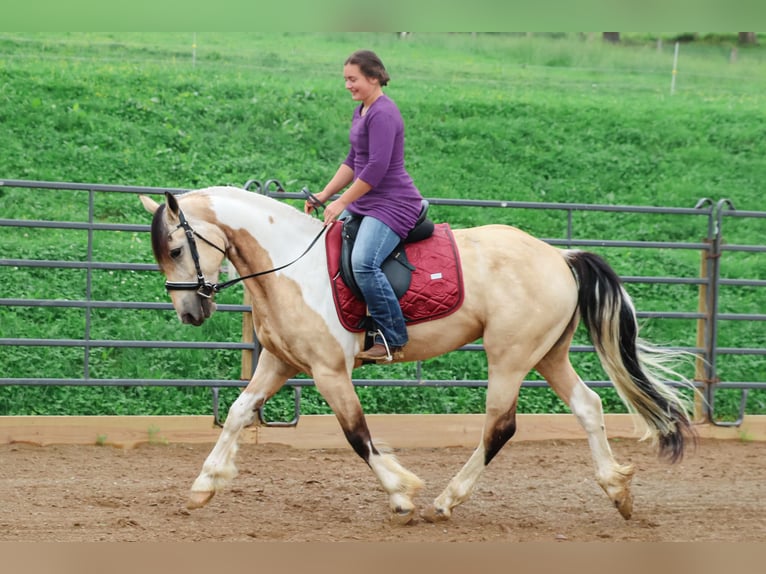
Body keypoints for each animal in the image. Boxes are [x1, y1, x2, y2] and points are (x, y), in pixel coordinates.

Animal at [140, 185, 695, 524]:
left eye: (175, 248)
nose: (190, 311)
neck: (290, 266)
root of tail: (559, 257)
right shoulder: (280, 363)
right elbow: (237, 413)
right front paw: (203, 486)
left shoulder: (329, 371)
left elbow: (357, 435)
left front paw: (401, 493)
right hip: (547, 355)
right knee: (587, 406)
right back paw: (617, 491)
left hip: (510, 358)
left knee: (500, 426)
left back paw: (446, 502)